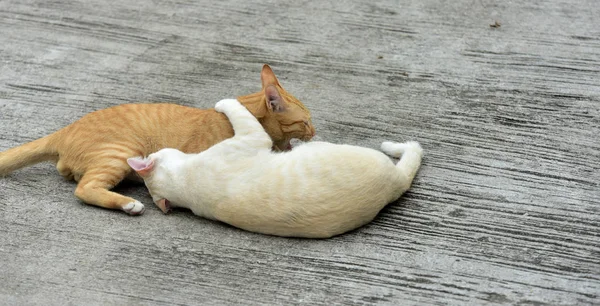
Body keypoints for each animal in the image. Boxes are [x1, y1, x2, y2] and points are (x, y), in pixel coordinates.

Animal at [0, 63, 316, 214]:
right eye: (305, 121)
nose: (314, 132)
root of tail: (65, 129)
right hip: (120, 152)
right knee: (84, 189)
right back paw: (129, 205)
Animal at [129, 98, 424, 237]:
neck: (185, 185)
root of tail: (395, 184)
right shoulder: (252, 137)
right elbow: (237, 110)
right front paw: (225, 103)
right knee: (413, 149)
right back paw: (390, 145)